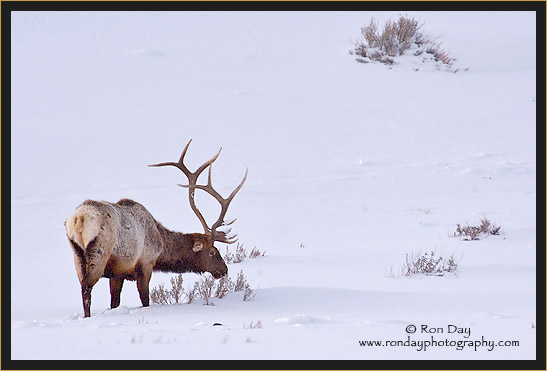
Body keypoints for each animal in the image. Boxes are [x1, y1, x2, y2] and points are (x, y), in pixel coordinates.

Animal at [64, 141, 246, 318]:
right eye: (212, 252)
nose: (224, 270)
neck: (162, 246)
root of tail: (79, 218)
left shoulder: (118, 272)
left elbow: (114, 302)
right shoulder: (145, 263)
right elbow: (145, 299)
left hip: (77, 255)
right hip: (99, 251)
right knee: (87, 288)